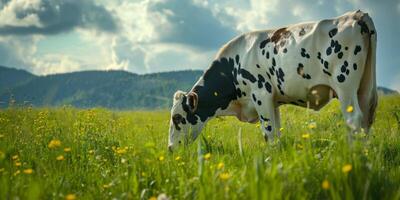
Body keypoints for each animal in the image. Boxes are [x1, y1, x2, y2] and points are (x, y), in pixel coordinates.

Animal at [168, 9, 378, 150]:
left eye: (177, 117)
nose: (170, 149)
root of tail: (356, 15)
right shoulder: (273, 100)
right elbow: (276, 132)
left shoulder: (261, 94)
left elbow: (268, 132)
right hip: (365, 88)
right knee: (366, 120)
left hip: (345, 86)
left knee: (354, 119)